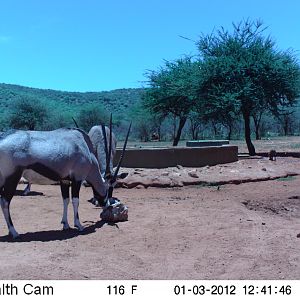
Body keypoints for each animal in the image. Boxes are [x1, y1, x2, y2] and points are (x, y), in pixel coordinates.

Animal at [0, 125, 131, 239]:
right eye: (108, 187)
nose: (107, 204)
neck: (85, 148)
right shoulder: (77, 179)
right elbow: (75, 201)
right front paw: (79, 225)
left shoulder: (65, 181)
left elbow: (65, 200)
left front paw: (65, 224)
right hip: (12, 179)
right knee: (5, 202)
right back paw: (14, 232)